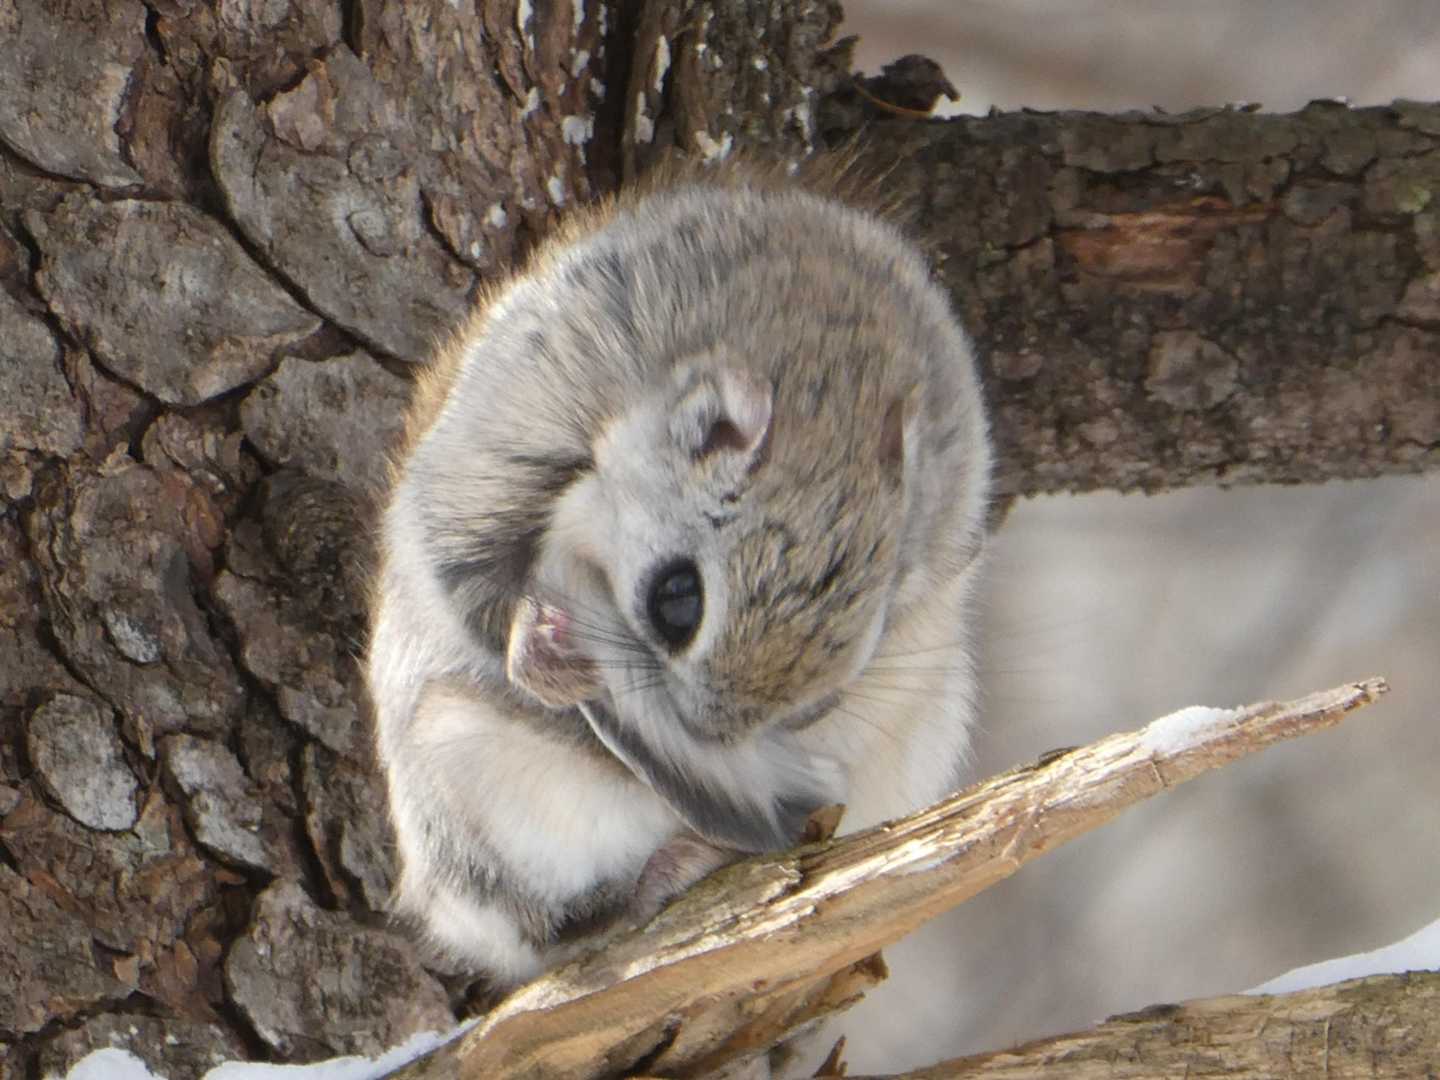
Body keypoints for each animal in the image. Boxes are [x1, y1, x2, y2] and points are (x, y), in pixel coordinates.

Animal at [365, 159, 993, 986]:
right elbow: (466, 578)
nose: (709, 733)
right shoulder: (501, 447)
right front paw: (543, 651)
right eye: (677, 599)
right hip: (460, 766)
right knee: (556, 925)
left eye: (852, 662)